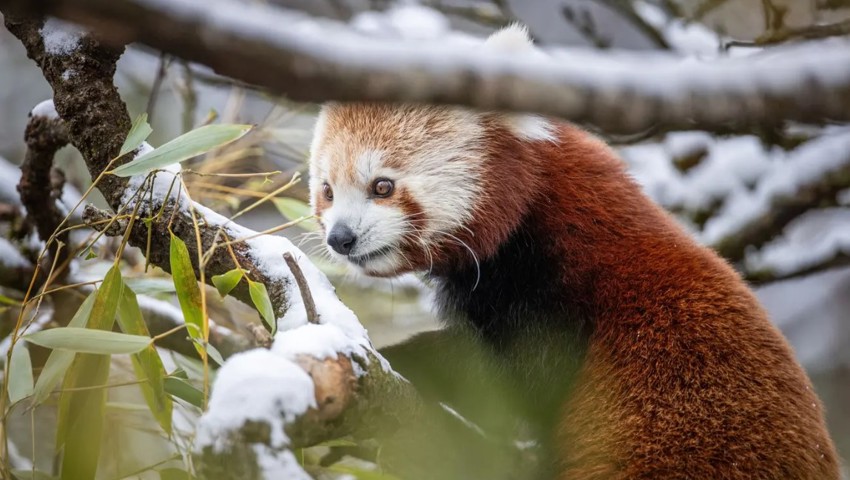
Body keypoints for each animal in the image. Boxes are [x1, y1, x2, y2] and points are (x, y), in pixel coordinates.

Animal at [308, 25, 840, 480]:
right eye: (327, 191)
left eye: (382, 186)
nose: (340, 239)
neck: (529, 220)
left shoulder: (555, 290)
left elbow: (510, 381)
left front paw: (400, 356)